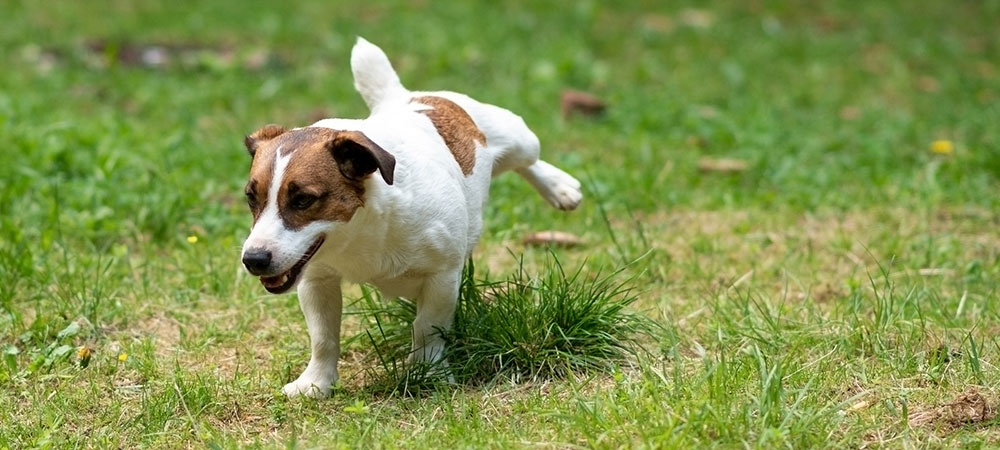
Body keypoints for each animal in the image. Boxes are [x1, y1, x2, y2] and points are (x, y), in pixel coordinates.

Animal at [241, 38, 584, 398]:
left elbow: (427, 328)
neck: (361, 228)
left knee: (528, 159)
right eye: (251, 198)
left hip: (517, 137)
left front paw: (427, 371)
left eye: (304, 200)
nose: (253, 259)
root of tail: (404, 97)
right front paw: (316, 382)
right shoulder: (316, 280)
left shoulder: (442, 277)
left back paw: (559, 187)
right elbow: (323, 337)